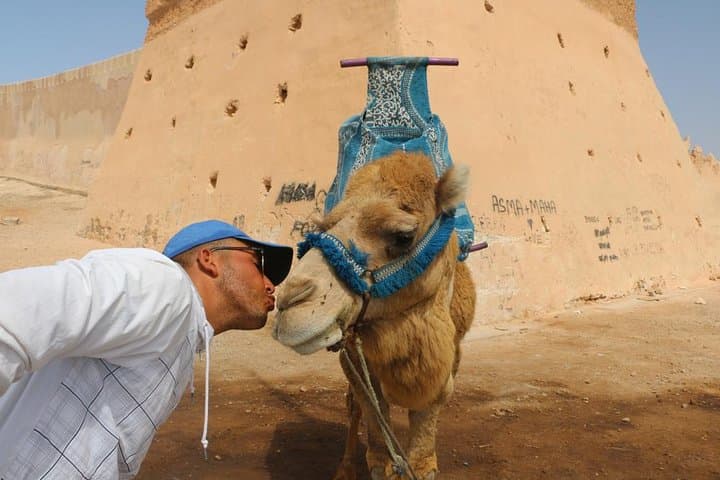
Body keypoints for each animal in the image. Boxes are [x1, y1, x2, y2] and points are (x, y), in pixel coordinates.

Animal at [273, 151, 476, 479]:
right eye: (322, 229)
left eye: (404, 236)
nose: (289, 302)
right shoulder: (354, 352)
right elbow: (370, 406)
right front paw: (380, 462)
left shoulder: (451, 353)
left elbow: (431, 405)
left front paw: (422, 464)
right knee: (352, 404)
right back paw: (345, 468)